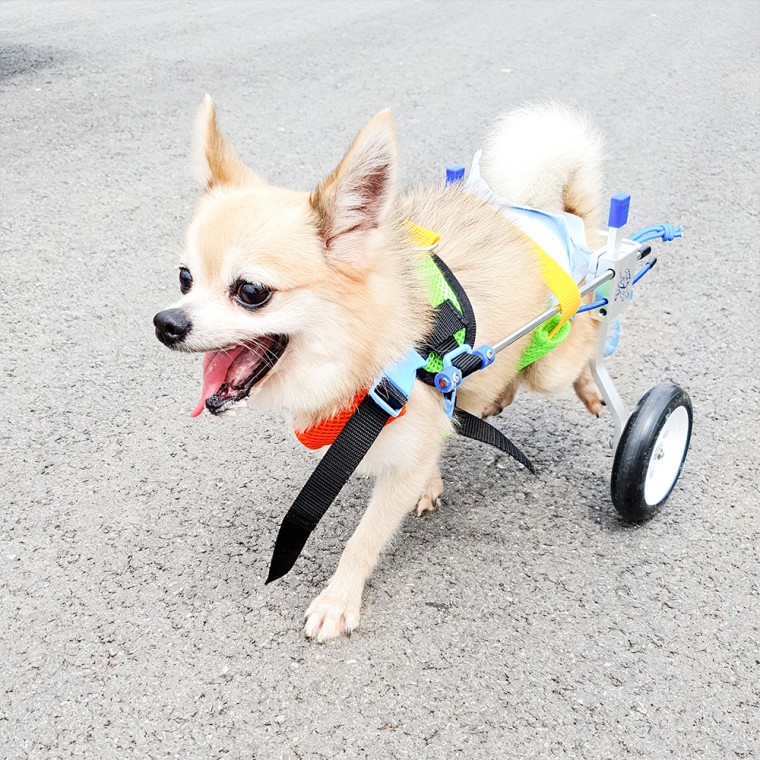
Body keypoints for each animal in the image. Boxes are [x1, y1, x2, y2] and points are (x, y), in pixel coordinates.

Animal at [153, 96, 604, 640]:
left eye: (251, 291)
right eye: (185, 278)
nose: (166, 323)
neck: (358, 359)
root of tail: (552, 214)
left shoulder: (399, 465)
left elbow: (364, 539)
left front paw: (339, 599)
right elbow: (431, 448)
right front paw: (432, 480)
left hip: (555, 352)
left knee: (591, 332)